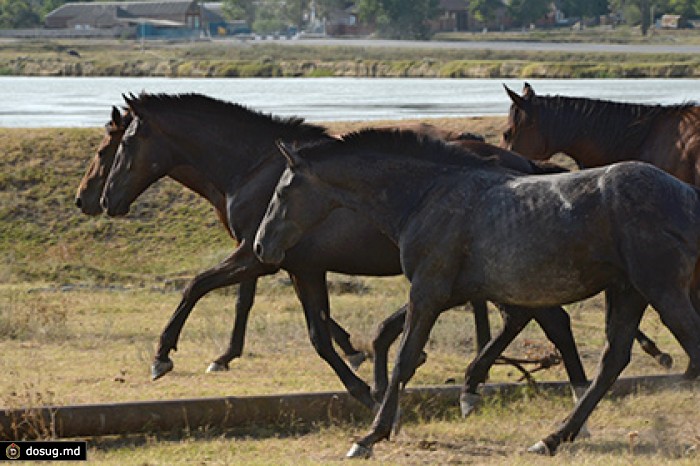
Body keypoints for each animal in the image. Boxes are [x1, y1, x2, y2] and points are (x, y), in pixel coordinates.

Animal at [100, 93, 592, 412]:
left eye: (120, 145)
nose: (103, 200)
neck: (254, 167)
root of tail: (526, 166)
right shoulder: (297, 266)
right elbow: (315, 330)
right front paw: (364, 377)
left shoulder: (259, 256)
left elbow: (197, 286)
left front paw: (163, 355)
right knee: (534, 318)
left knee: (540, 318)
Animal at [254, 129, 700, 456]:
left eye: (282, 192)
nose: (260, 246)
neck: (427, 195)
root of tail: (688, 195)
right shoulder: (448, 291)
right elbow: (392, 338)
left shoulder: (428, 290)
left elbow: (404, 357)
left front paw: (370, 437)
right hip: (628, 292)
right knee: (612, 361)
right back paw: (552, 438)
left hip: (660, 289)